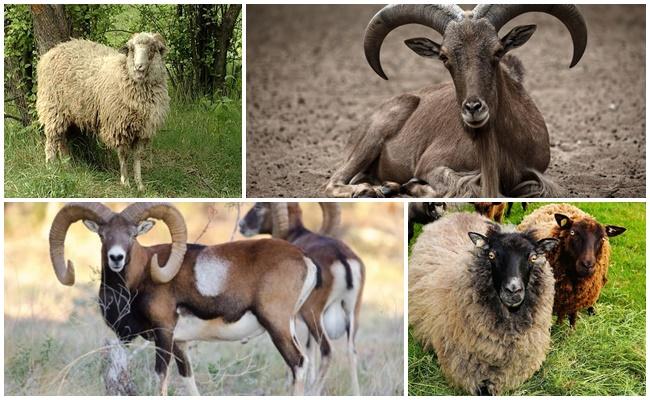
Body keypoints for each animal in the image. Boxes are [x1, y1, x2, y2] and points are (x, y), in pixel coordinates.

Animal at [36, 32, 170, 190]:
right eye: (131, 49)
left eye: (152, 49)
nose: (139, 67)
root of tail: (51, 52)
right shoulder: (118, 125)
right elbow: (123, 155)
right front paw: (125, 182)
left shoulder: (143, 130)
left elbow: (137, 157)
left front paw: (140, 185)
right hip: (52, 107)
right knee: (51, 139)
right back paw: (50, 167)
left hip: (66, 112)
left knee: (62, 138)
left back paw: (67, 164)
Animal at [48, 202, 318, 395]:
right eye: (103, 235)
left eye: (132, 235)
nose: (116, 258)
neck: (140, 279)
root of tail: (305, 259)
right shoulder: (180, 343)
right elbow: (187, 379)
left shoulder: (164, 334)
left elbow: (161, 377)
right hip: (288, 326)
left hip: (276, 325)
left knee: (298, 363)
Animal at [239, 203, 364, 395]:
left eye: (259, 206)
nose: (241, 225)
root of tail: (341, 258)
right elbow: (310, 349)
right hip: (352, 313)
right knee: (351, 353)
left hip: (313, 314)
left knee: (327, 351)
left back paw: (313, 391)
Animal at [325, 4, 587, 198]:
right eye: (444, 57)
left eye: (497, 51)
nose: (473, 108)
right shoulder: (431, 164)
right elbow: (459, 187)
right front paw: (414, 186)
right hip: (378, 131)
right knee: (334, 182)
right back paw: (368, 190)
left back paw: (385, 186)